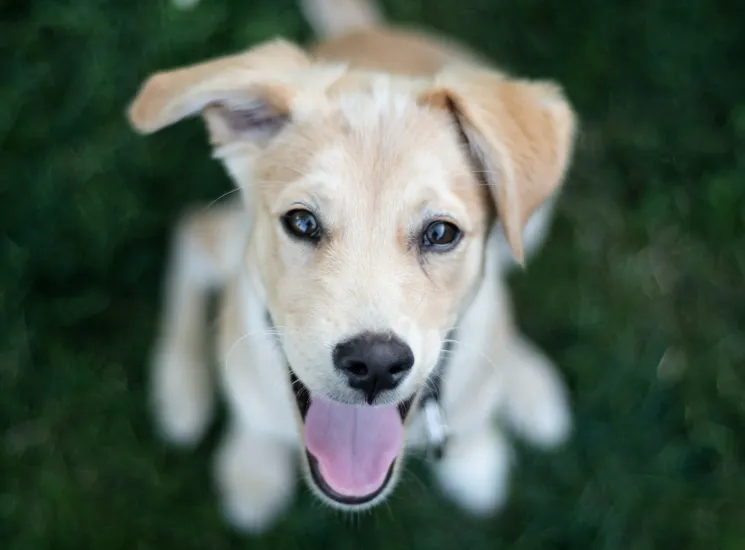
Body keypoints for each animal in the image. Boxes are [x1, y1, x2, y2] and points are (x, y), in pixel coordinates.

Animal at [126, 0, 576, 536]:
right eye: (301, 221)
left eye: (440, 233)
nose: (375, 364)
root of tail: (367, 32)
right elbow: (253, 418)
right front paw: (253, 467)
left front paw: (476, 455)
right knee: (192, 234)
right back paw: (179, 384)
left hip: (534, 218)